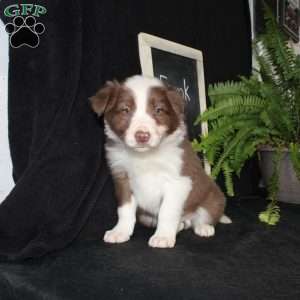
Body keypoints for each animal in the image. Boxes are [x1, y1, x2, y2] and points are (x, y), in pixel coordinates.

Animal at [90, 75, 231, 248]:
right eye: (125, 110)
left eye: (158, 110)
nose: (142, 136)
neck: (144, 156)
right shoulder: (122, 177)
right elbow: (125, 210)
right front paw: (120, 232)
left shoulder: (178, 181)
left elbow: (167, 211)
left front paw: (163, 237)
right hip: (146, 217)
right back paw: (180, 225)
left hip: (214, 197)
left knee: (204, 216)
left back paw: (204, 227)